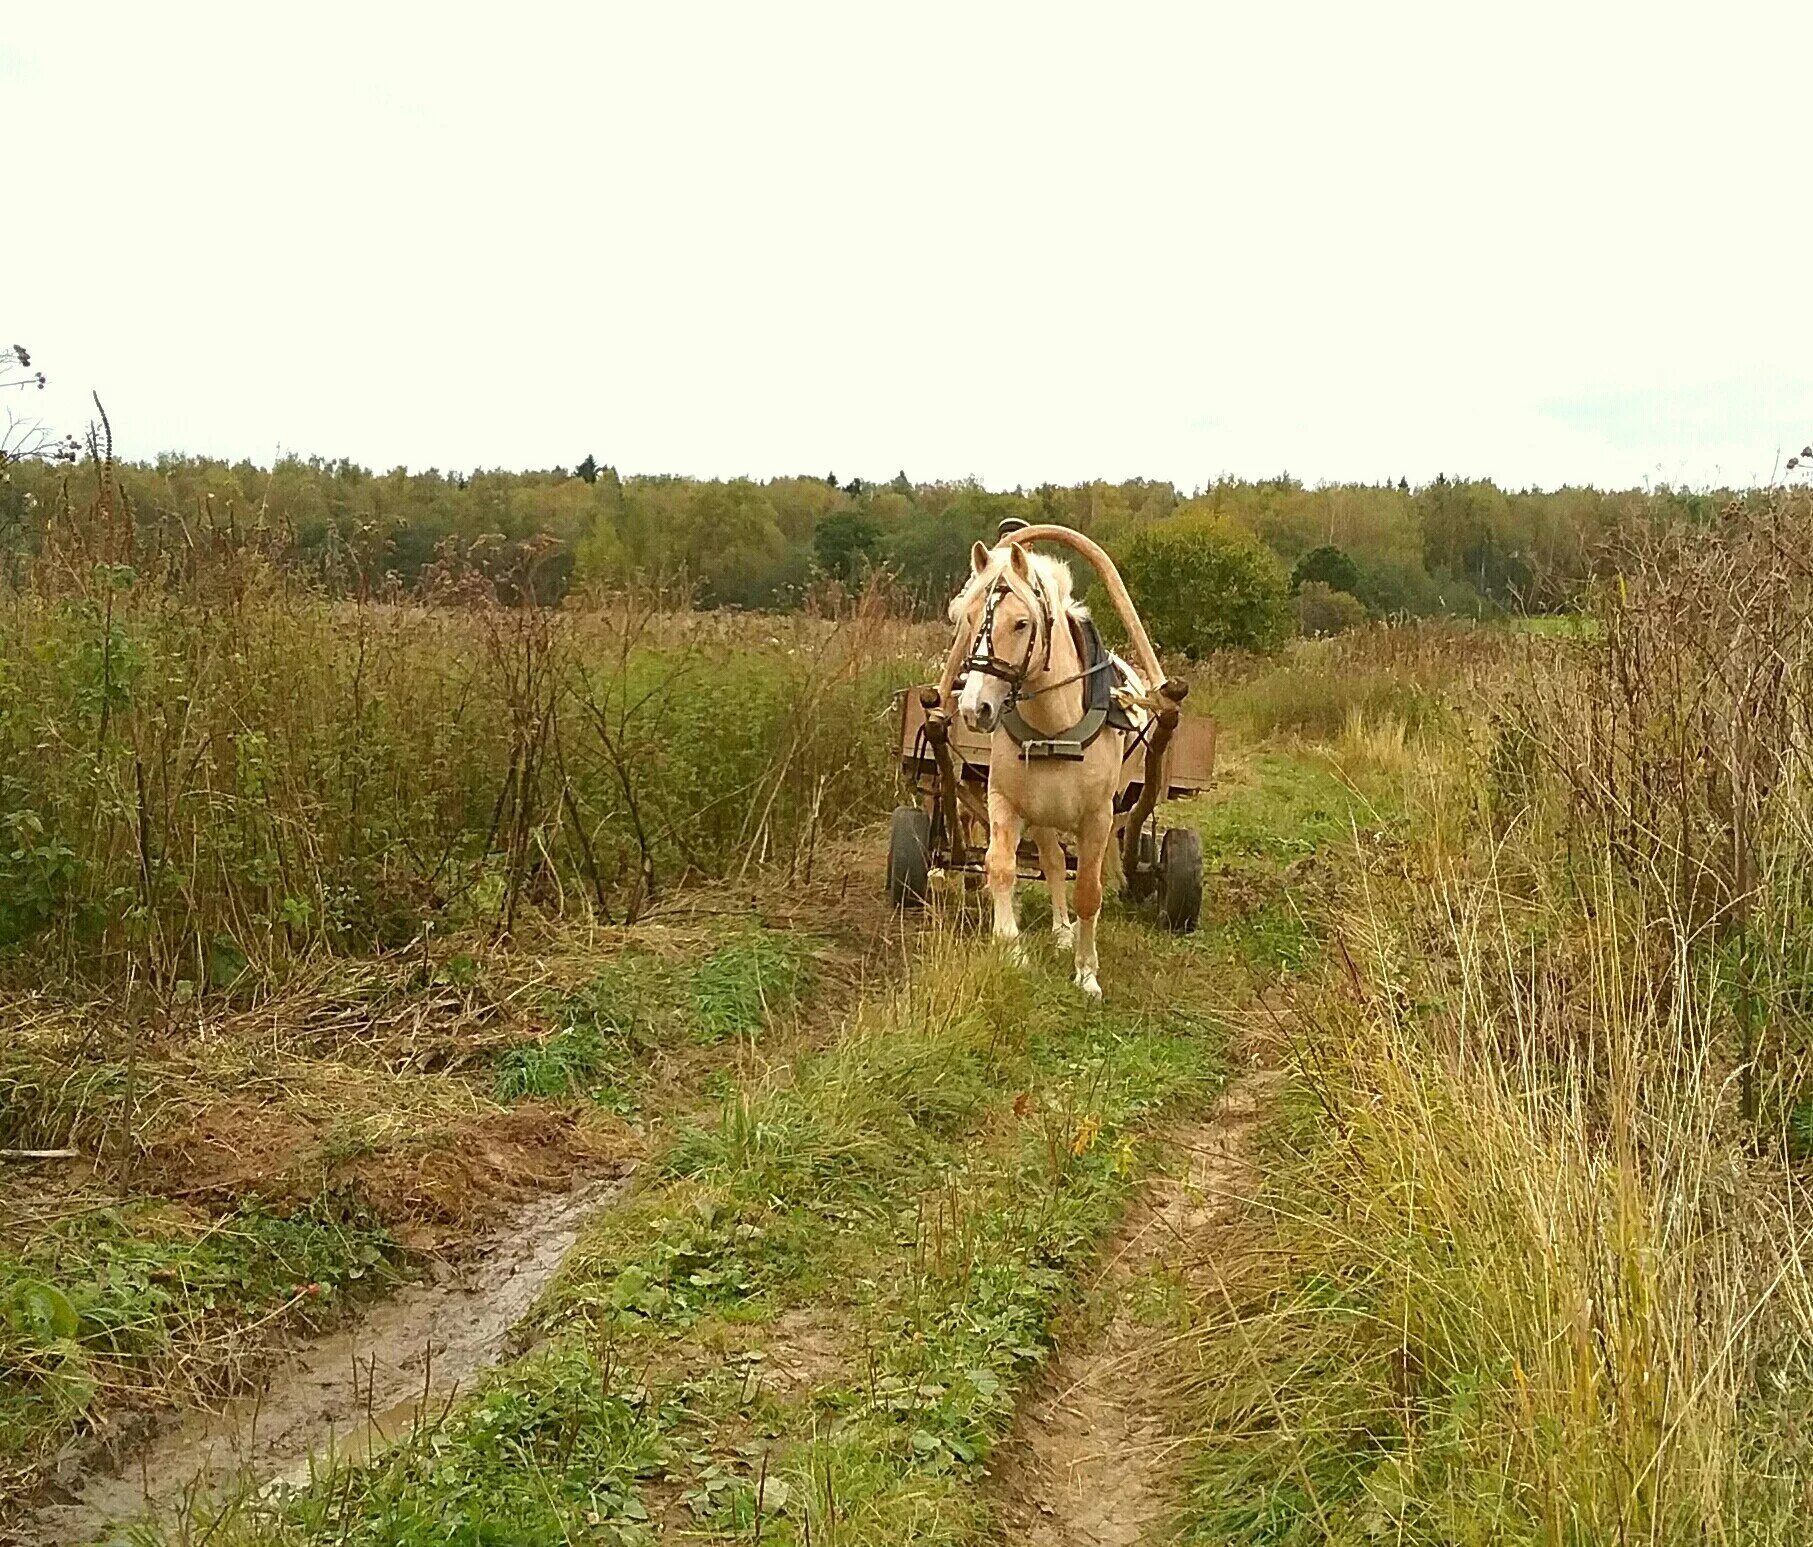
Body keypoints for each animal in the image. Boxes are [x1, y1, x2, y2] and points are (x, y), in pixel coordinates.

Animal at [950, 544, 1145, 1001]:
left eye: (1021, 623)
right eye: (968, 617)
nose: (973, 709)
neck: (1056, 724)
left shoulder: (1097, 817)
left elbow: (1088, 889)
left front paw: (1087, 974)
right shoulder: (1005, 803)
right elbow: (1001, 868)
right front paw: (1012, 949)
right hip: (1044, 814)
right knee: (1054, 863)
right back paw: (1060, 930)